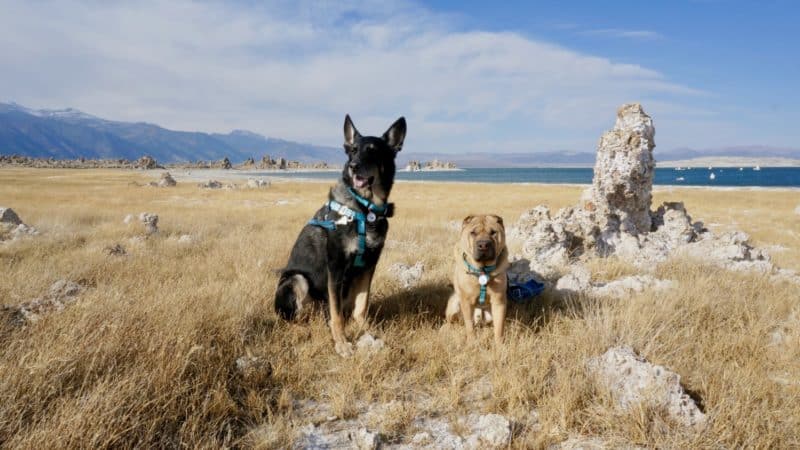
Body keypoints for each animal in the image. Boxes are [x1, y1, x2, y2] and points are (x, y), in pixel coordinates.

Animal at [278, 114, 410, 356]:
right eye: (353, 150)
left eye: (372, 151)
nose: (353, 166)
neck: (365, 209)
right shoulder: (336, 267)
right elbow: (337, 314)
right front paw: (341, 342)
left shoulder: (369, 265)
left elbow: (362, 305)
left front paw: (366, 328)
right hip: (296, 280)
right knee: (295, 318)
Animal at [444, 215, 512, 344]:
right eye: (473, 233)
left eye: (493, 232)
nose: (483, 245)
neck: (483, 270)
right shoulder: (466, 302)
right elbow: (469, 326)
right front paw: (472, 343)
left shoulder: (499, 301)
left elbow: (499, 327)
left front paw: (499, 345)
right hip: (454, 303)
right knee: (450, 321)